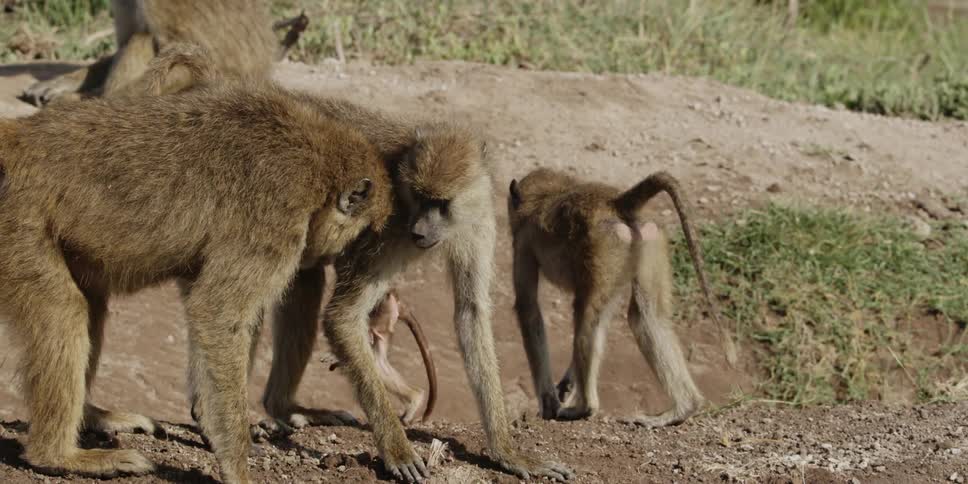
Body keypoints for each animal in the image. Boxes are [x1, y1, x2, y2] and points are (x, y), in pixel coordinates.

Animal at [0, 80, 393, 483]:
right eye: (363, 232)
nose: (334, 259)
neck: (318, 165)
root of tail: (18, 139)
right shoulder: (276, 220)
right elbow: (216, 312)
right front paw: (237, 466)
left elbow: (205, 307)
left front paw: (207, 421)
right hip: (17, 222)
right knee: (65, 311)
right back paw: (59, 456)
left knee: (90, 304)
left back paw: (92, 417)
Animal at [506, 168, 736, 428]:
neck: (546, 195)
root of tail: (615, 202)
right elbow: (605, 318)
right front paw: (565, 387)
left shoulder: (522, 244)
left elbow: (529, 310)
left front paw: (549, 403)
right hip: (646, 238)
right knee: (645, 316)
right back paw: (683, 409)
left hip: (605, 244)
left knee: (585, 314)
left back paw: (585, 408)